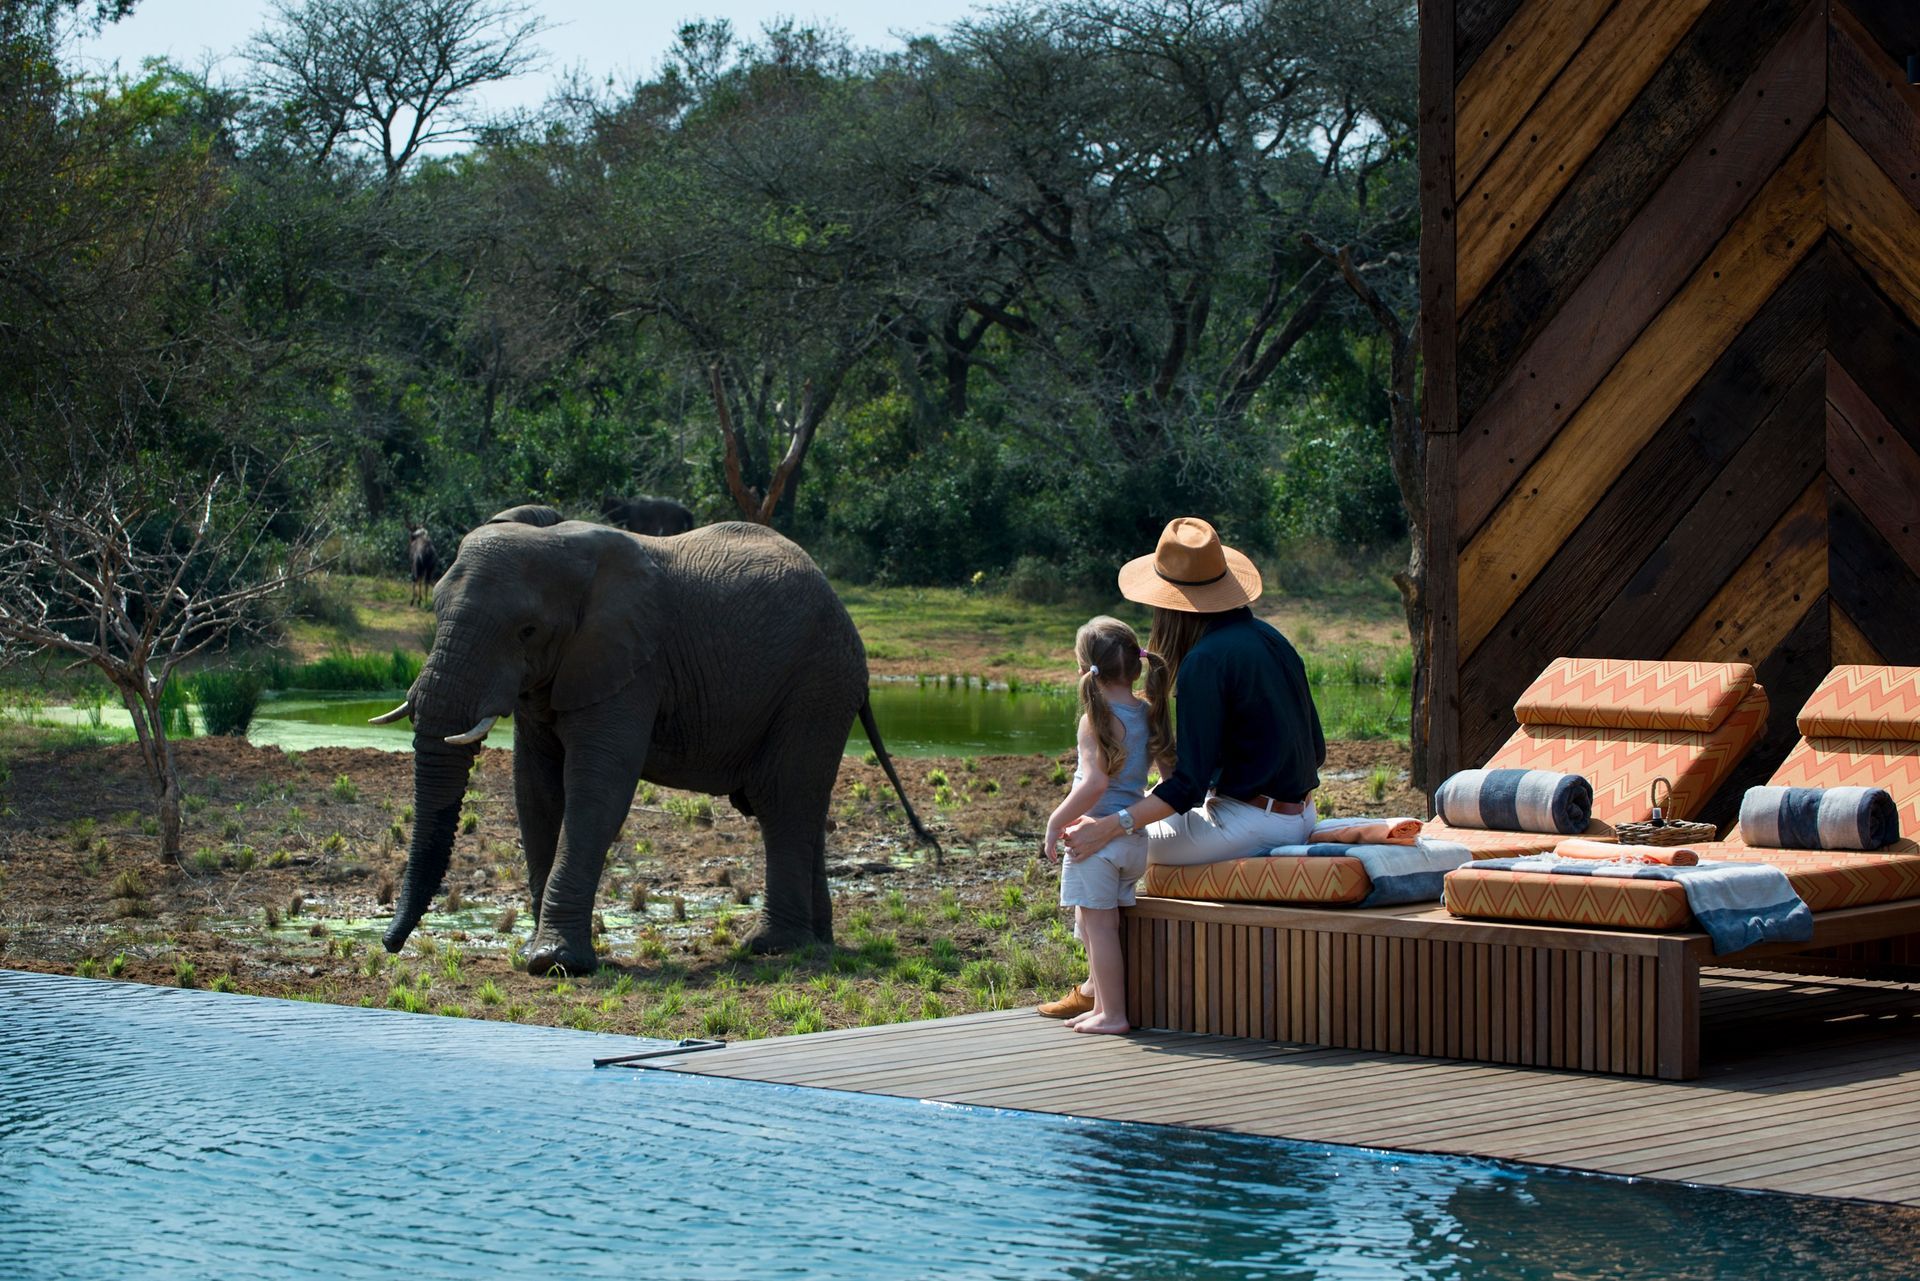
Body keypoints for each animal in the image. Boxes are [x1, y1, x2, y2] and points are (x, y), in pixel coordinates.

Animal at [372, 507, 929, 975]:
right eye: (436, 610)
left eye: (527, 630)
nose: (388, 945)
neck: (563, 546)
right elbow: (536, 793)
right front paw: (537, 952)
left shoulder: (633, 667)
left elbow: (596, 791)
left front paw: (554, 963)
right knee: (805, 804)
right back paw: (817, 943)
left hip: (817, 684)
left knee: (782, 800)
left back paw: (771, 947)